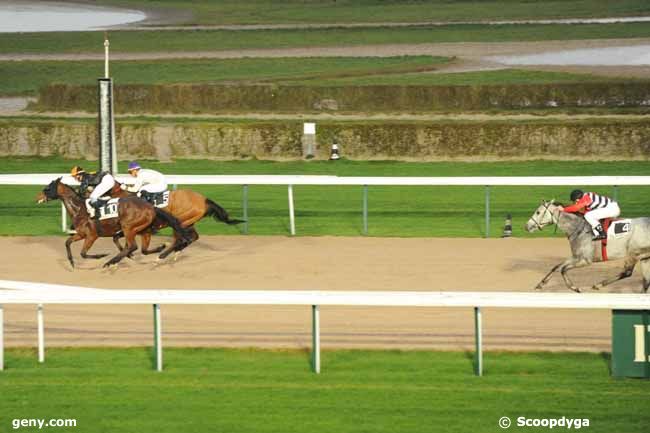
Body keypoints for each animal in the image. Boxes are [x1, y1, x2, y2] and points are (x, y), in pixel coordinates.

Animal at [37, 178, 190, 266]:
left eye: (47, 188)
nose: (38, 197)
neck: (79, 209)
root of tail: (150, 206)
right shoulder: (81, 234)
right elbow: (67, 242)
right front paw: (72, 262)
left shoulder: (92, 235)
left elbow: (83, 253)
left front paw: (102, 256)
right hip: (140, 229)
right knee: (140, 249)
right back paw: (159, 249)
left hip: (128, 227)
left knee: (133, 246)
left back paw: (111, 261)